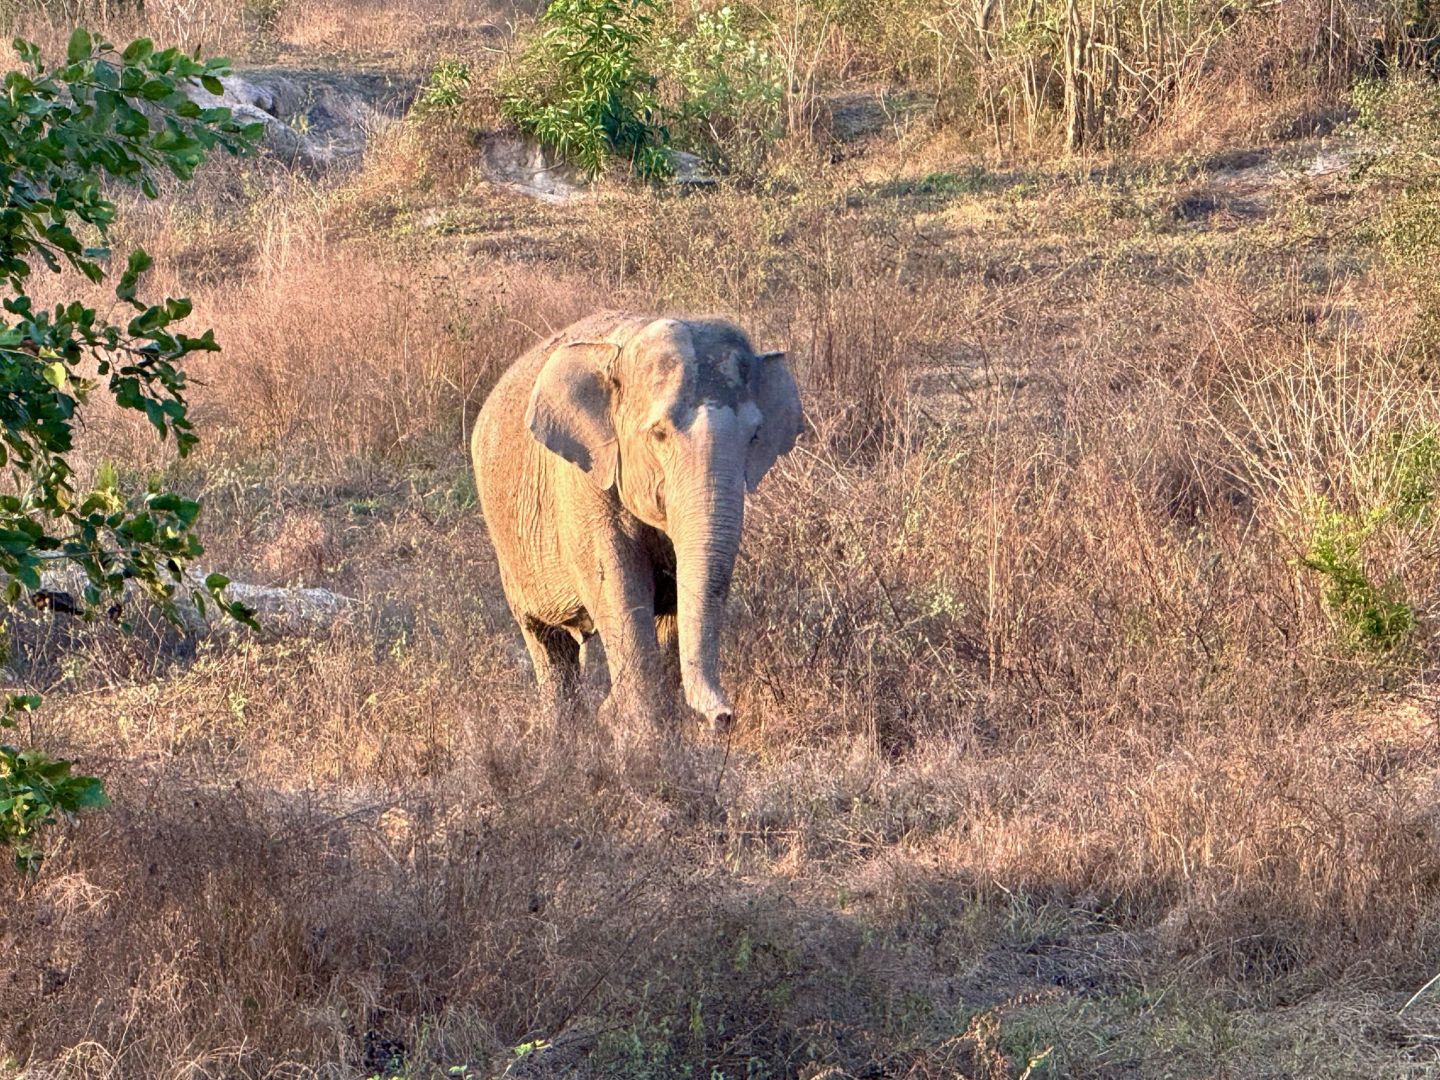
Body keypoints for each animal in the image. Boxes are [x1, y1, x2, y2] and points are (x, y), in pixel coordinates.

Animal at [472, 311, 803, 731]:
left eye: (754, 436)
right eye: (659, 434)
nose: (724, 717)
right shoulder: (583, 486)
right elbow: (618, 583)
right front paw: (636, 731)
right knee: (546, 642)